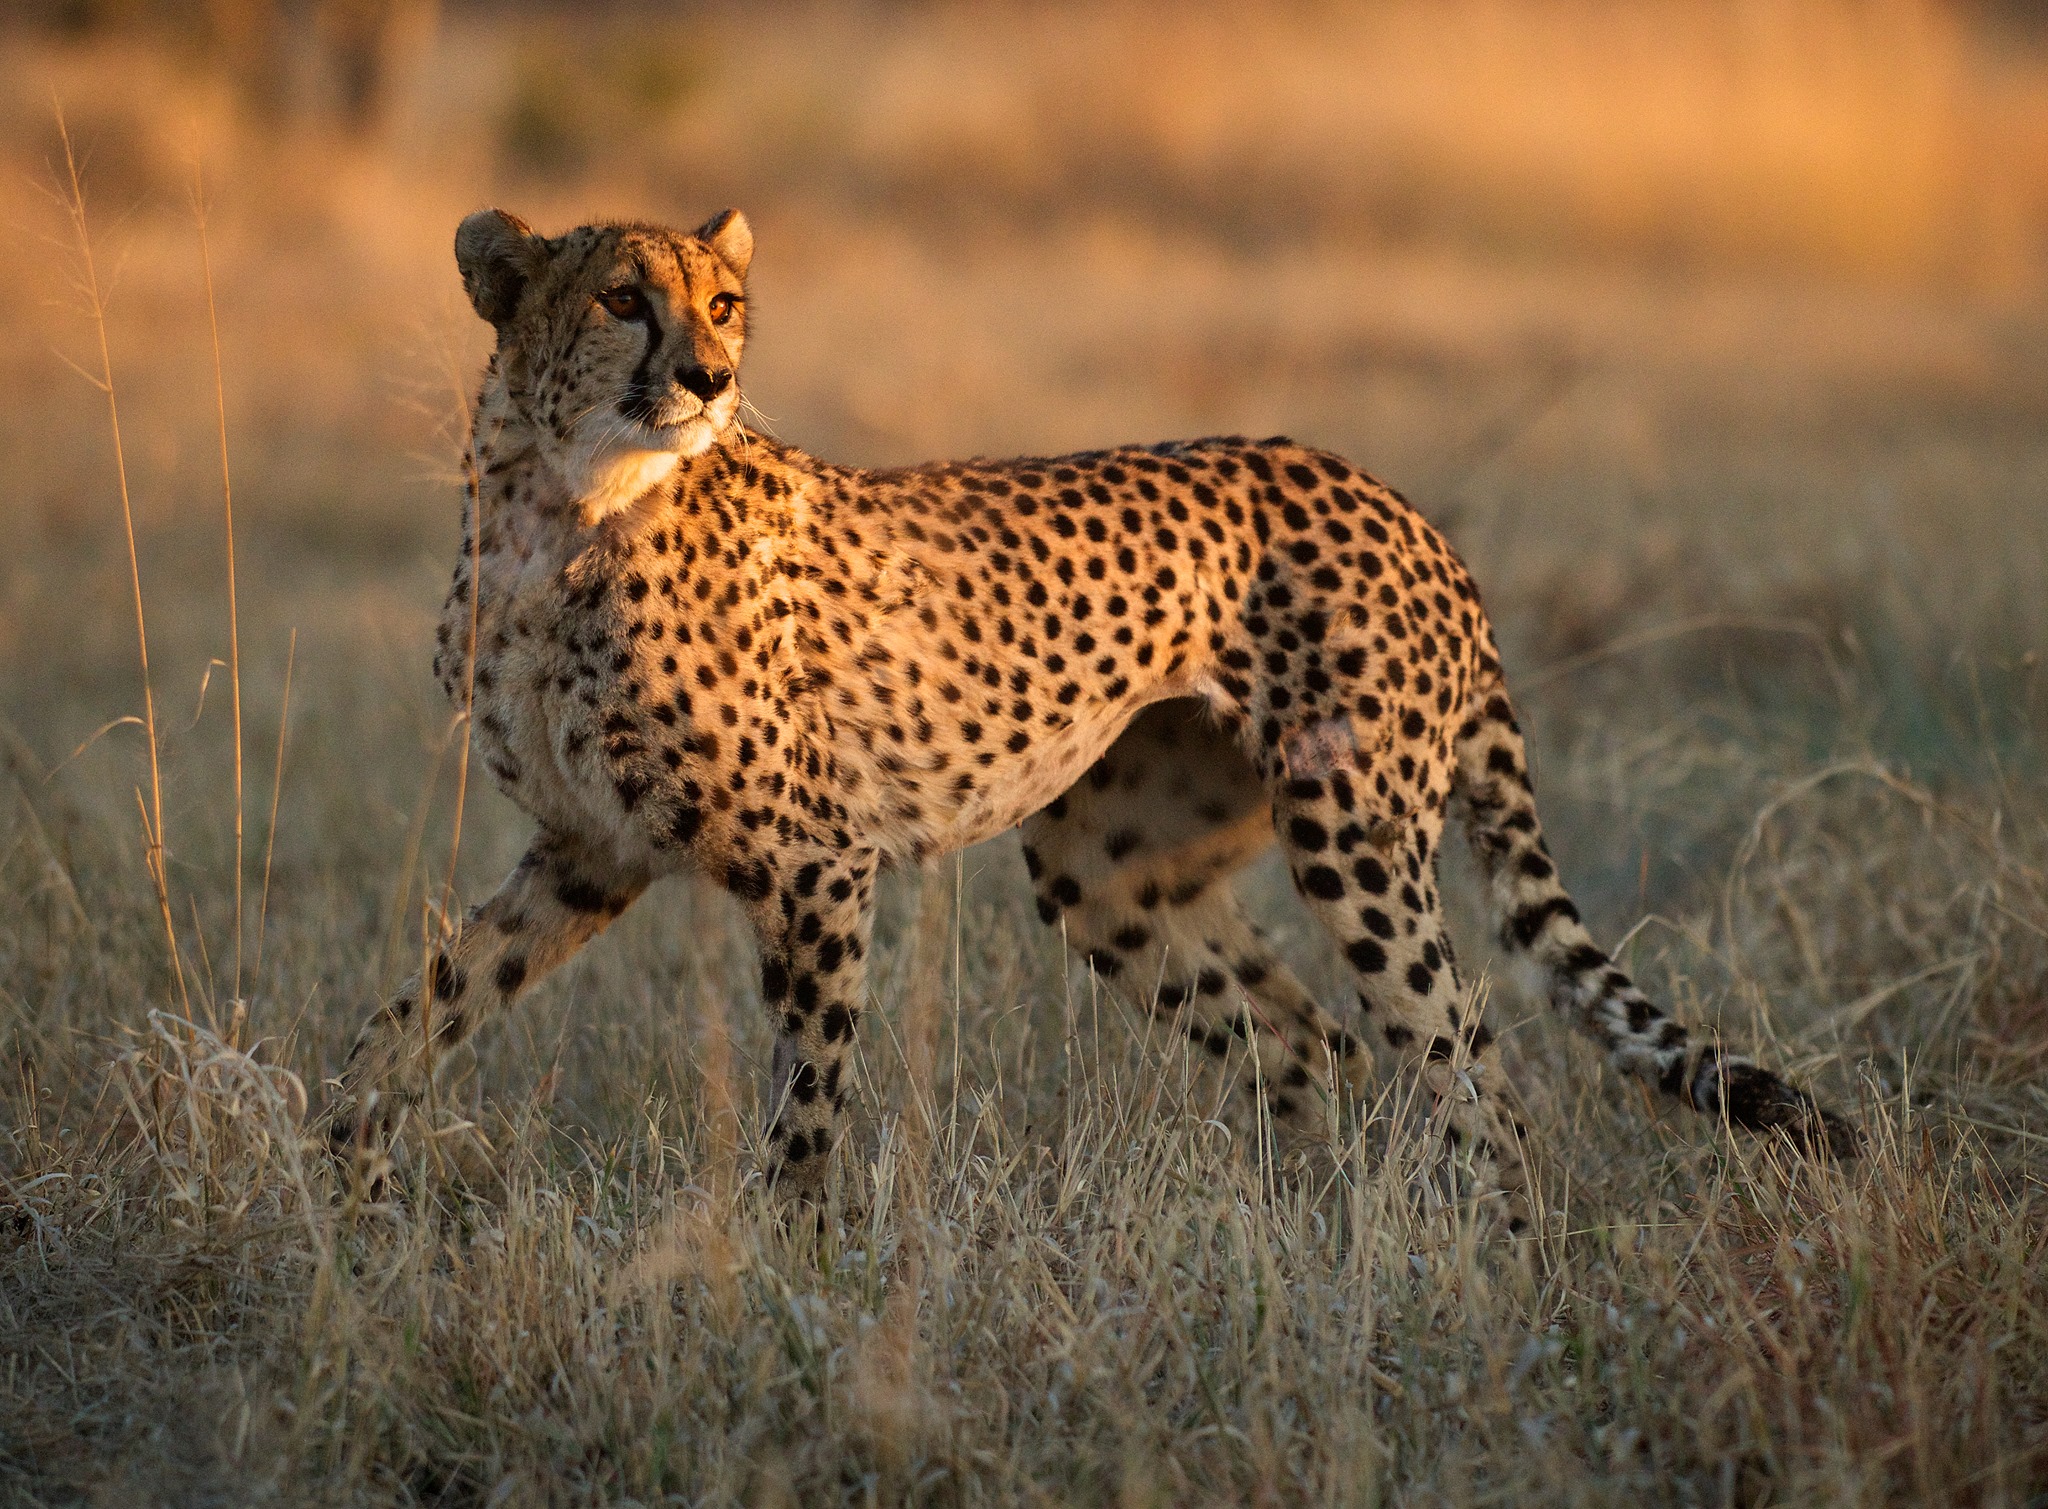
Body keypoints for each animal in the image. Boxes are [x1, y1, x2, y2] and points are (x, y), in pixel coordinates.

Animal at [323, 208, 1859, 1228]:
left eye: (725, 305)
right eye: (621, 300)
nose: (708, 377)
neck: (559, 510)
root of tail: (1401, 501)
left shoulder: (817, 861)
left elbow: (804, 1098)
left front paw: (786, 1269)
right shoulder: (592, 850)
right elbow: (420, 1005)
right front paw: (344, 1174)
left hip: (1349, 830)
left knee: (1470, 1066)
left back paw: (1485, 1266)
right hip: (1107, 870)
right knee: (1306, 1036)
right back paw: (1300, 1240)